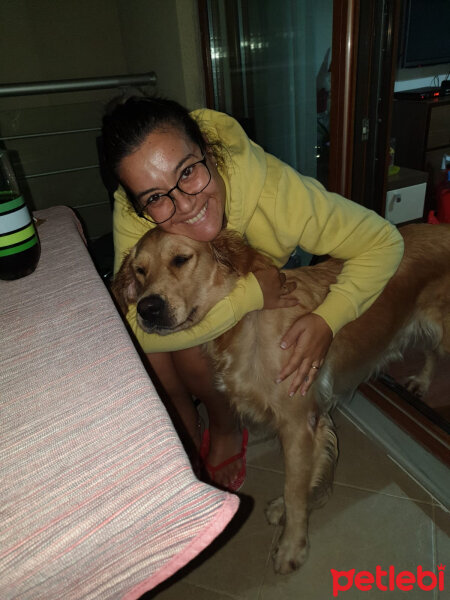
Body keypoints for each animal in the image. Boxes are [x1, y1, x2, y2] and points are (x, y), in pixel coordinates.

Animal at [111, 223, 450, 576]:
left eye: (180, 259)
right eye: (140, 270)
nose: (147, 308)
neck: (246, 323)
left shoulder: (299, 425)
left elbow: (295, 490)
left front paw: (292, 546)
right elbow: (303, 482)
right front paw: (287, 511)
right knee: (430, 352)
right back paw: (421, 381)